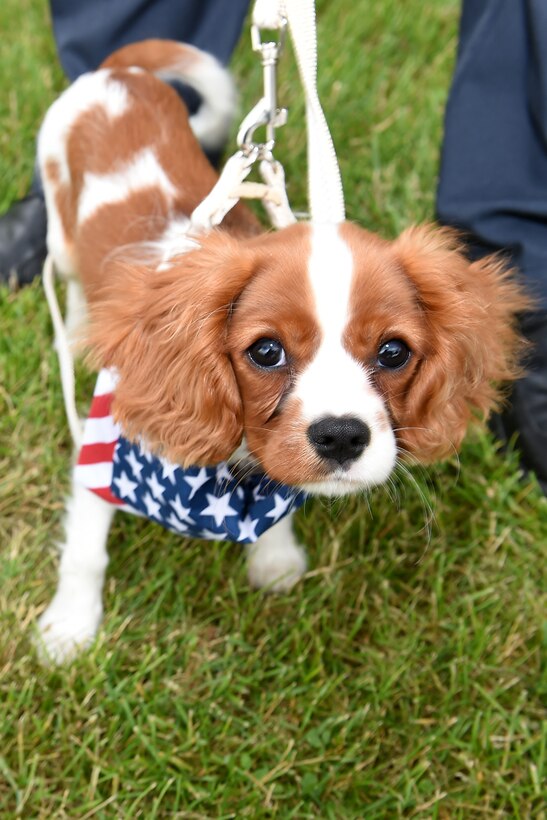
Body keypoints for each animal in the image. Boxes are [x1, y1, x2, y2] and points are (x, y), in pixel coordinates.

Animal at [34, 41, 528, 664]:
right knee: (71, 275)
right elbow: (85, 551)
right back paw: (77, 328)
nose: (341, 436)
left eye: (394, 352)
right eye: (266, 351)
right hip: (58, 219)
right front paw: (68, 631)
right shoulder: (103, 454)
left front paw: (274, 558)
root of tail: (121, 75)